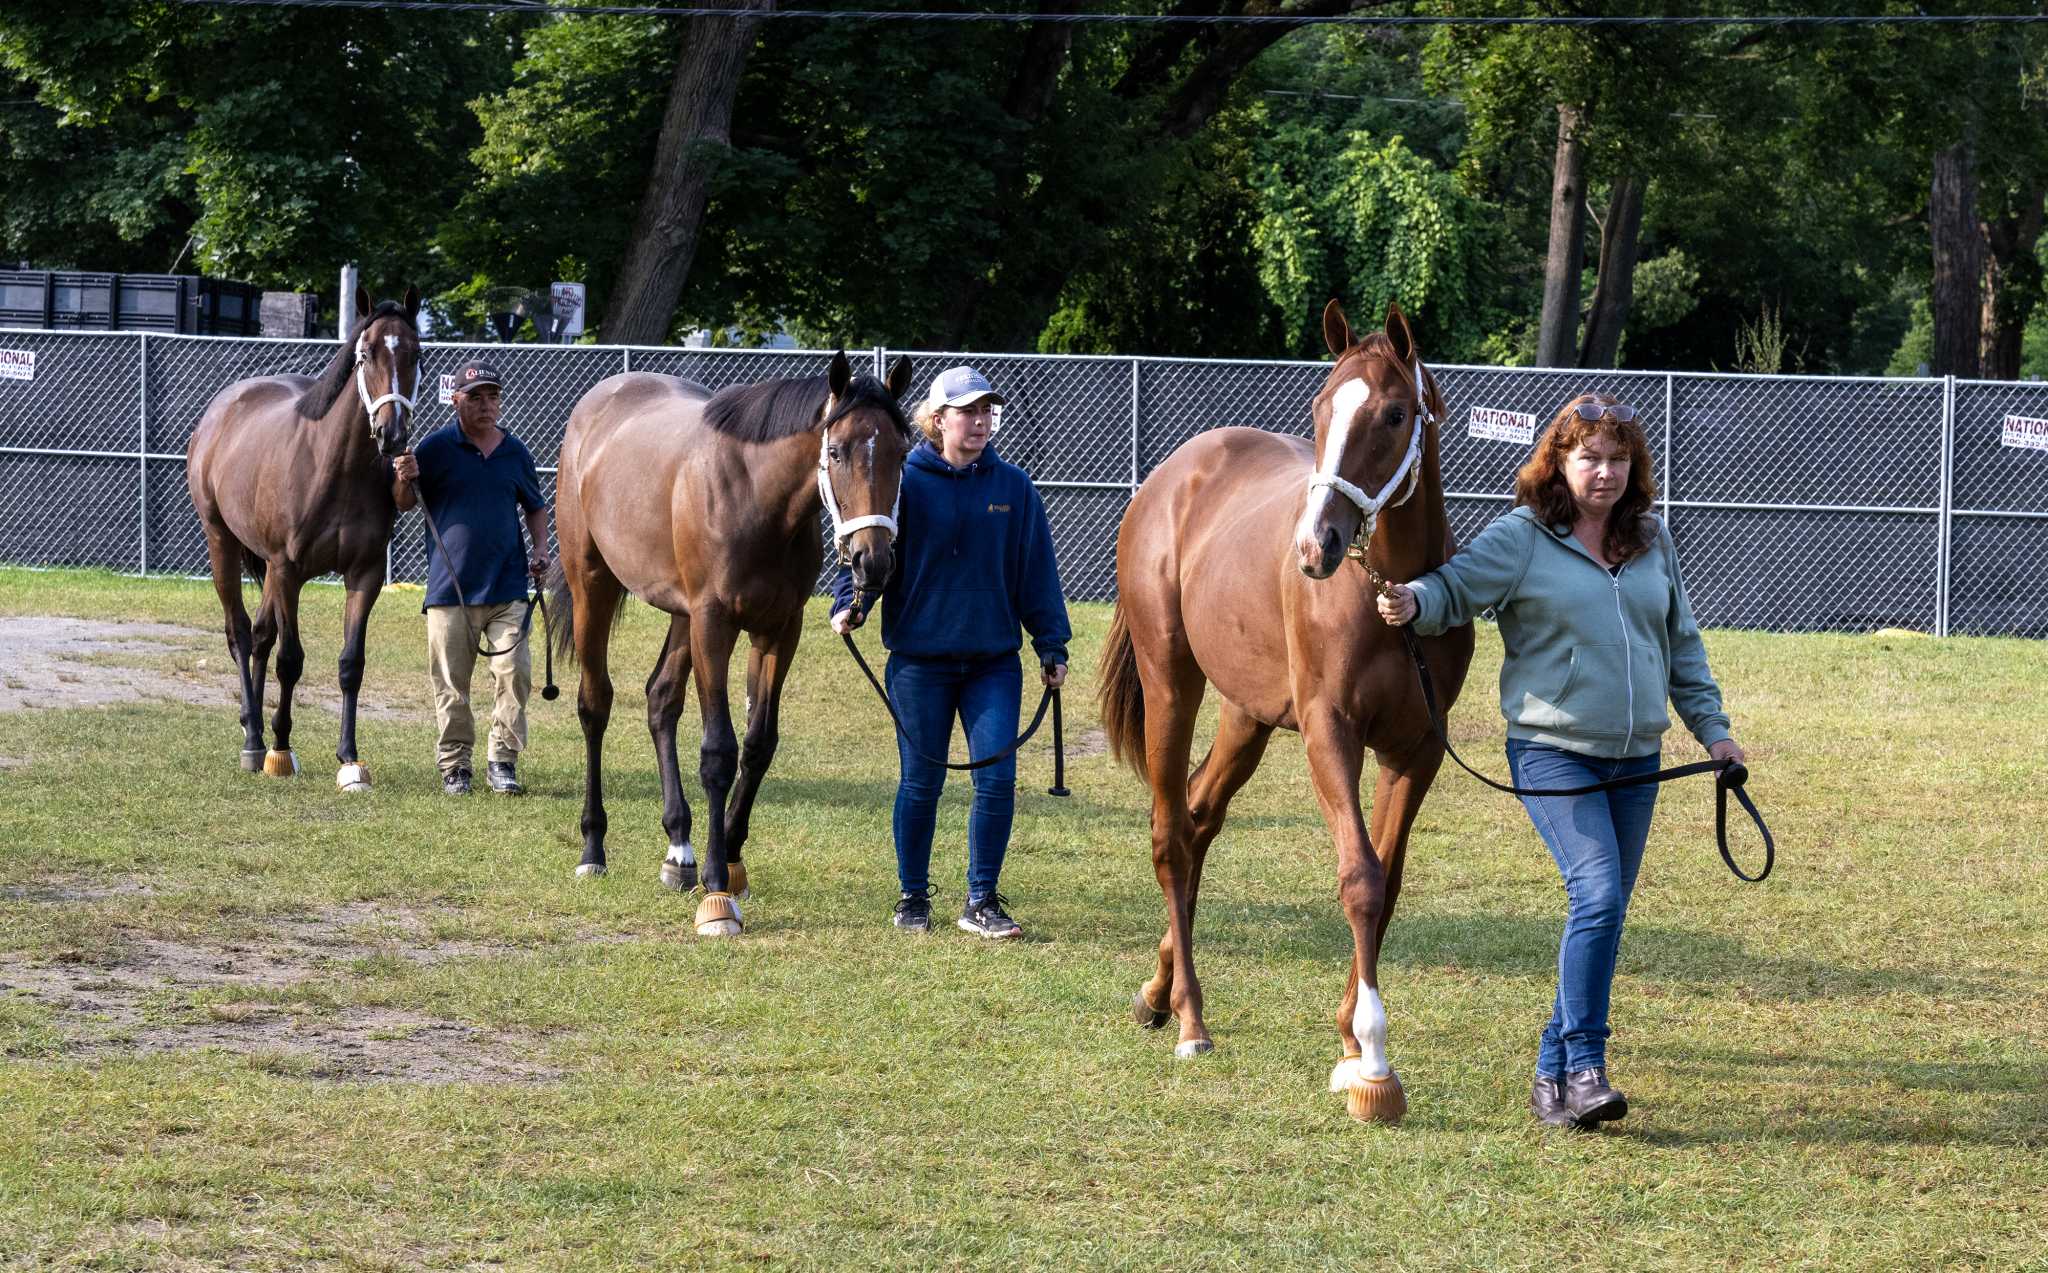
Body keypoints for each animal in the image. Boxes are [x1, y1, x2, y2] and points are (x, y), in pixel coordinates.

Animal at [187, 286, 419, 794]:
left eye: (415, 353)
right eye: (366, 354)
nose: (392, 434)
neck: (335, 468)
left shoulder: (364, 575)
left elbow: (351, 664)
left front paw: (349, 758)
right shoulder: (289, 571)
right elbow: (290, 659)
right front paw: (280, 746)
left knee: (259, 636)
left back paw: (251, 721)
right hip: (223, 543)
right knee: (240, 634)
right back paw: (254, 739)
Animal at [552, 349, 921, 937]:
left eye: (901, 453)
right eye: (836, 451)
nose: (873, 560)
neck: (753, 493)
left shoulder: (779, 630)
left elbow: (758, 744)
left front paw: (727, 855)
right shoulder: (714, 625)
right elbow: (719, 751)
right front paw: (717, 890)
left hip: (680, 615)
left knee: (661, 699)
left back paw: (678, 848)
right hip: (594, 585)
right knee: (595, 705)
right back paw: (594, 848)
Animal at [1105, 300, 1474, 1129]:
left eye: (1394, 413)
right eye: (1320, 407)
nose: (1316, 546)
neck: (1391, 595)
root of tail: (1171, 480)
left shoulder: (1415, 752)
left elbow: (1386, 883)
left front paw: (1349, 1037)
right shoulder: (1330, 732)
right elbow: (1359, 878)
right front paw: (1373, 1061)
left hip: (1245, 715)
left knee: (1198, 819)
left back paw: (1158, 991)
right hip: (1172, 683)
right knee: (1170, 834)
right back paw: (1191, 1017)